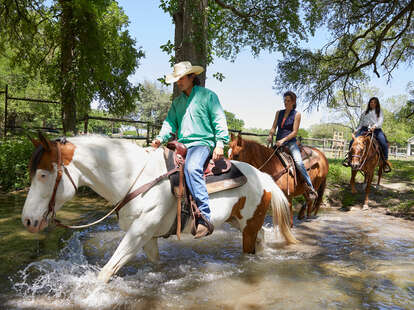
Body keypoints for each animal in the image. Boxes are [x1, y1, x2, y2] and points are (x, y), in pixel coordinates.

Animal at [22, 134, 296, 284]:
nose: (27, 221)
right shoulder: (147, 237)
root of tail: (262, 175)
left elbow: (106, 272)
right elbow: (156, 265)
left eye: (44, 174)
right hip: (238, 220)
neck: (133, 177)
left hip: (248, 224)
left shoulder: (138, 233)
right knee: (260, 237)